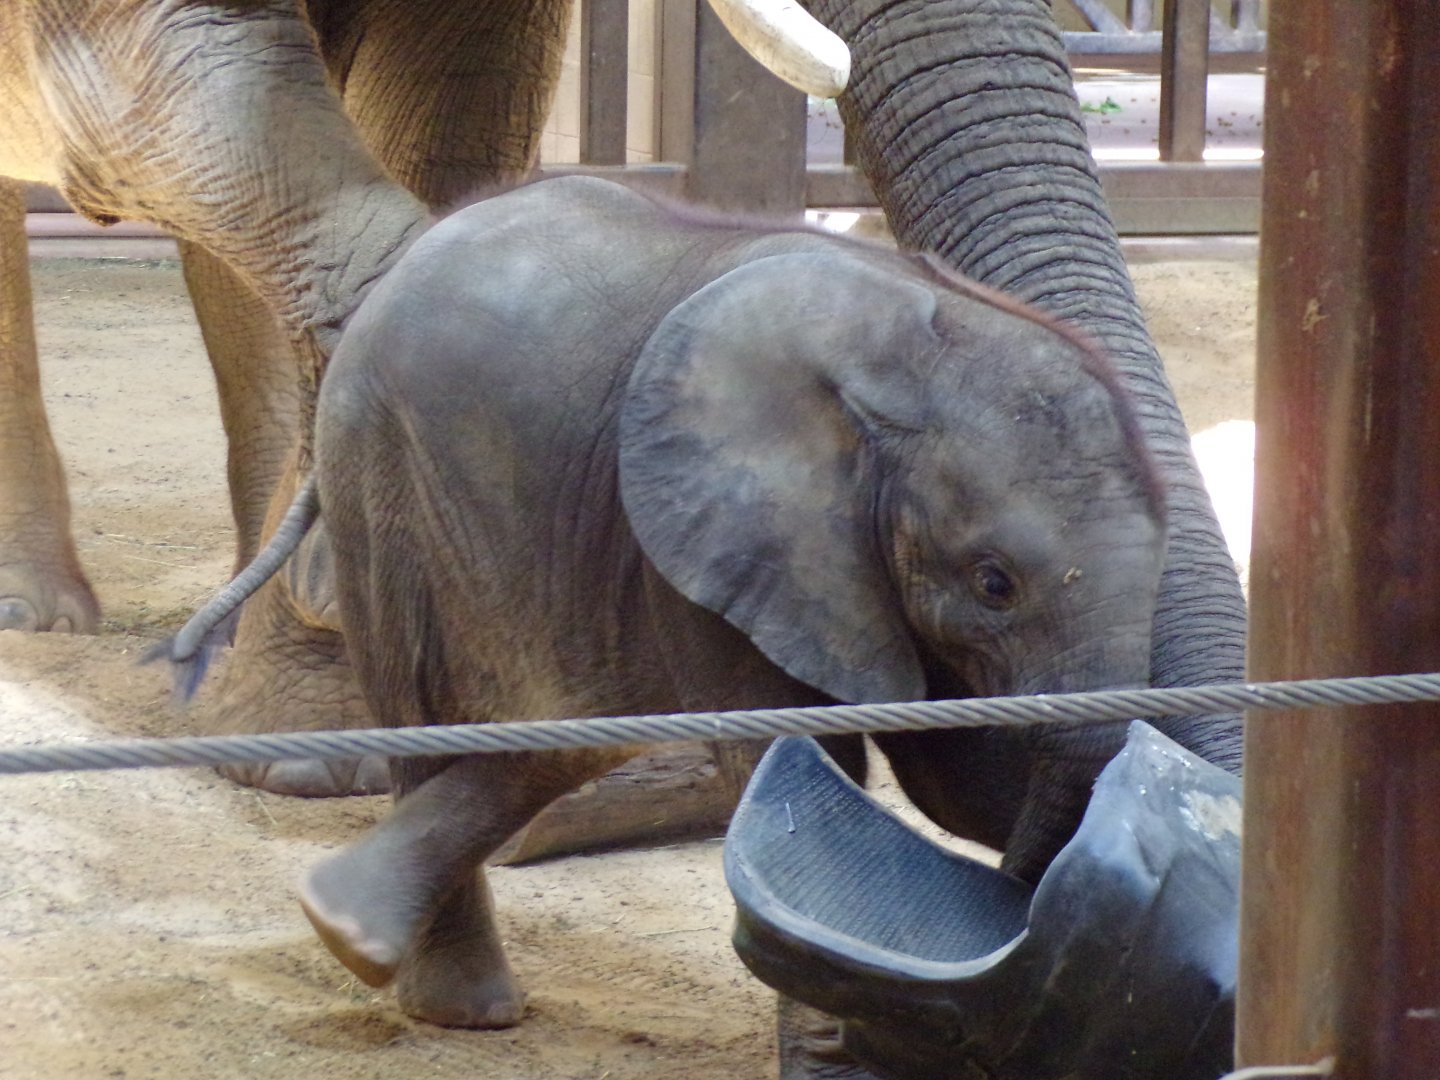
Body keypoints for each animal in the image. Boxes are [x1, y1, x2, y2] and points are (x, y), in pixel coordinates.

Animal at [202, 172, 1167, 1030]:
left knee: (565, 721)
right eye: (994, 582)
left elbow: (958, 783)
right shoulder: (731, 539)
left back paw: (358, 928)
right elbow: (804, 761)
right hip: (380, 474)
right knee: (428, 710)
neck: (923, 343)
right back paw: (443, 998)